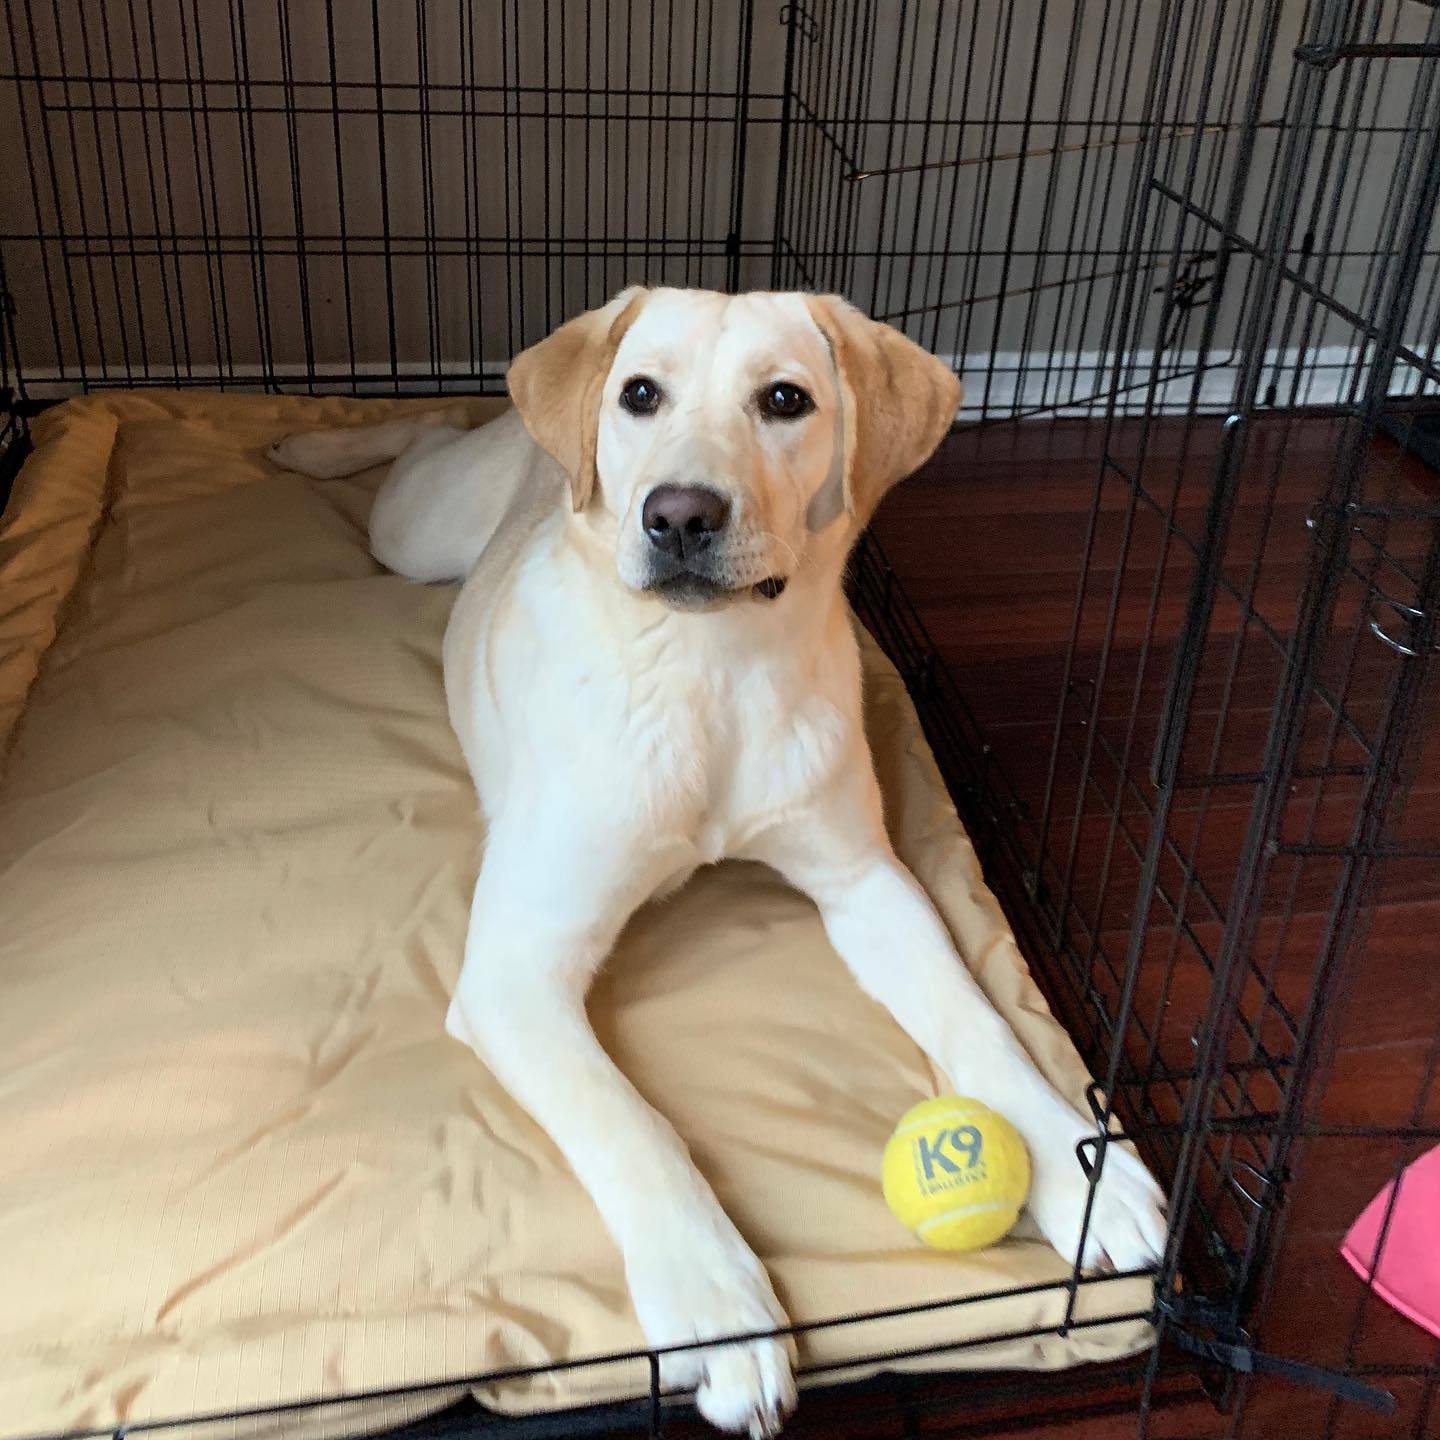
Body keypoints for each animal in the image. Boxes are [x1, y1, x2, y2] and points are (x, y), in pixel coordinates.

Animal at [270, 292, 1169, 1440]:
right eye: (639, 394)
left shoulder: (869, 882)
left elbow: (978, 1022)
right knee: (422, 440)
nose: (680, 517)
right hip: (416, 534)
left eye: (785, 399)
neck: (707, 673)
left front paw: (1080, 1167)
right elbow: (633, 1125)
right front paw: (719, 1309)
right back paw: (314, 440)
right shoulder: (517, 971)